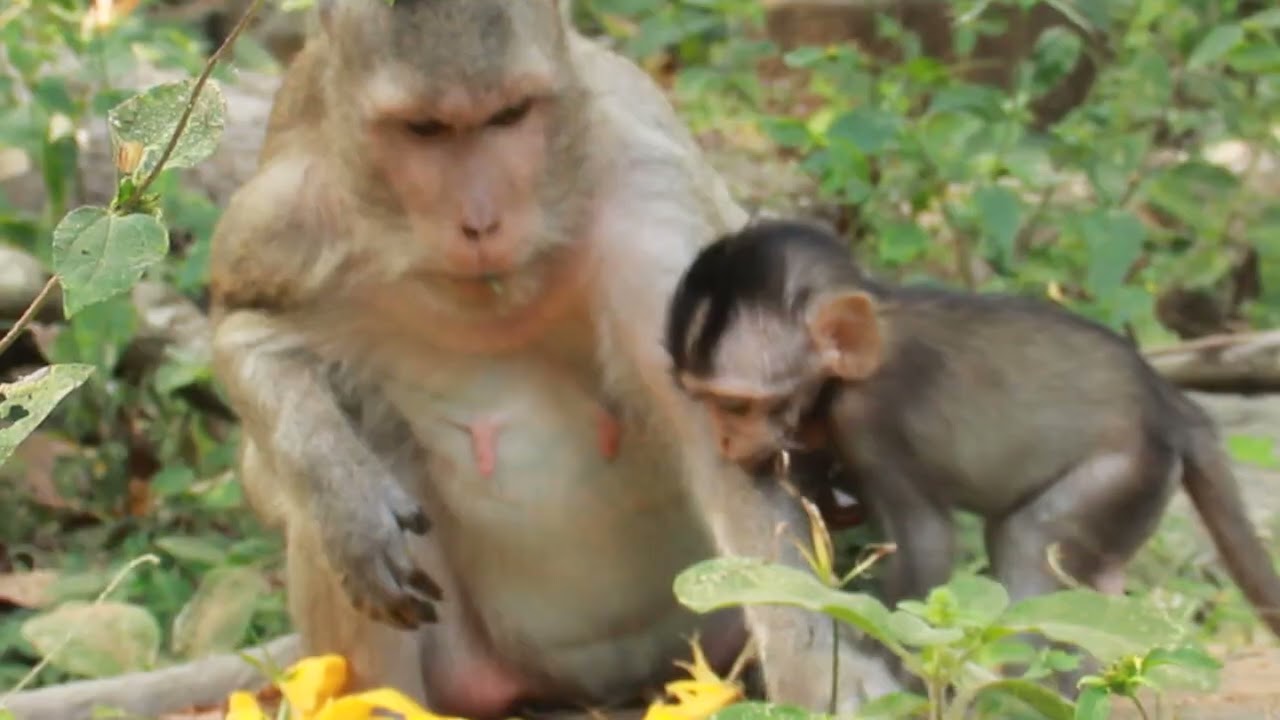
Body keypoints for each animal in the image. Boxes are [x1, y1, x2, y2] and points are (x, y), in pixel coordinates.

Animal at [207, 2, 900, 719]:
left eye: (509, 116)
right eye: (426, 130)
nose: (480, 223)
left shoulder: (648, 200)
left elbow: (724, 438)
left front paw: (824, 681)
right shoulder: (295, 213)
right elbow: (246, 328)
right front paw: (345, 498)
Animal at [663, 218, 1280, 651]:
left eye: (735, 405)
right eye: (704, 401)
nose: (725, 442)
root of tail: (1170, 405)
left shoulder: (872, 421)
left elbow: (928, 539)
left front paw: (892, 650)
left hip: (1127, 468)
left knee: (1029, 540)